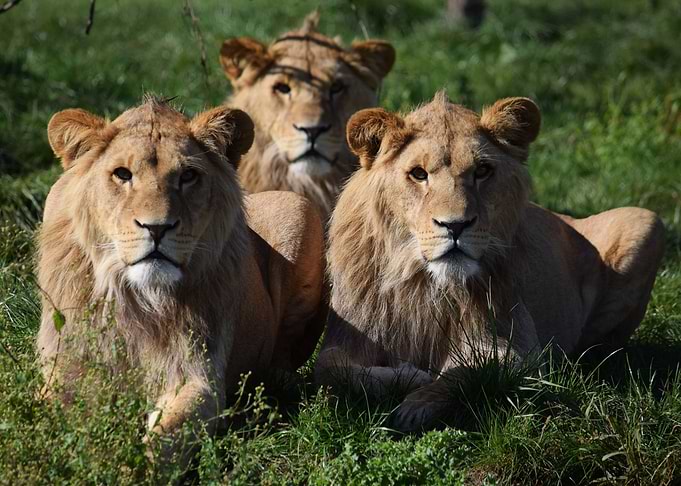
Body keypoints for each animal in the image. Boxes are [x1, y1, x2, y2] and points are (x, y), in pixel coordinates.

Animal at [36, 96, 325, 460]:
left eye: (188, 176)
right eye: (122, 174)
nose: (157, 228)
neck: (138, 298)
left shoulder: (198, 376)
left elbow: (164, 440)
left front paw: (130, 463)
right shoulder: (64, 371)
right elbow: (46, 426)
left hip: (299, 207)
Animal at [315, 92, 665, 432]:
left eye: (482, 171)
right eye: (418, 174)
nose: (455, 225)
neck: (425, 285)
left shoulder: (520, 350)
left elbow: (464, 372)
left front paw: (416, 404)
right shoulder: (348, 336)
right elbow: (332, 370)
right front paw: (410, 376)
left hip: (645, 221)